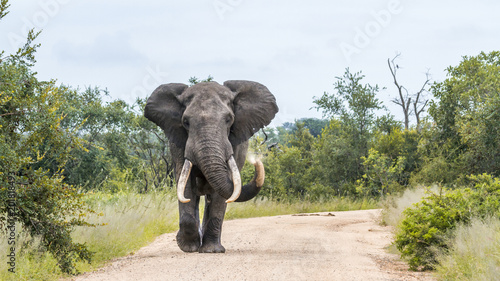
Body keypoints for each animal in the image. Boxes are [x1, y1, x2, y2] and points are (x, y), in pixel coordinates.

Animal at [144, 79, 278, 252]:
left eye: (229, 119)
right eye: (185, 122)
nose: (255, 160)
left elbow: (222, 193)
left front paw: (211, 250)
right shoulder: (179, 144)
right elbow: (185, 185)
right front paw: (188, 247)